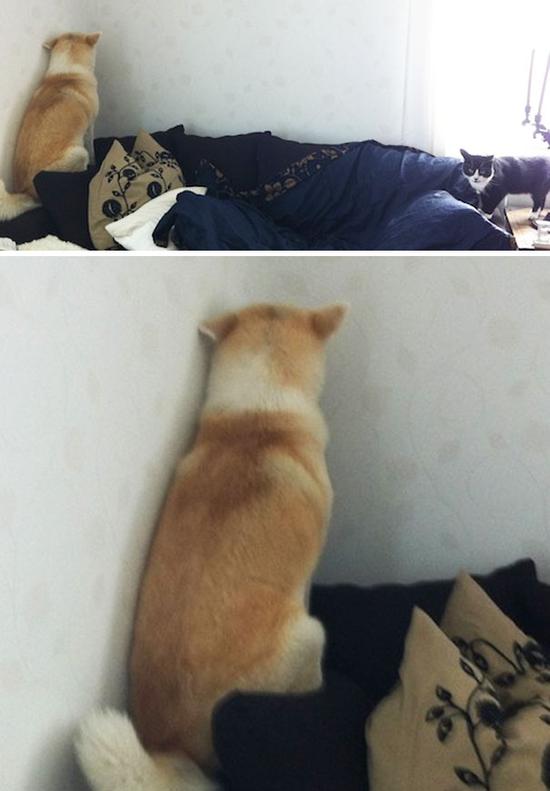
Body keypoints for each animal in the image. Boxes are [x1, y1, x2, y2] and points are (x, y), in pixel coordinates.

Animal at [0, 32, 101, 221]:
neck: (68, 74)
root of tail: (26, 192)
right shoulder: (90, 128)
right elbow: (92, 149)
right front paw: (95, 162)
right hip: (78, 153)